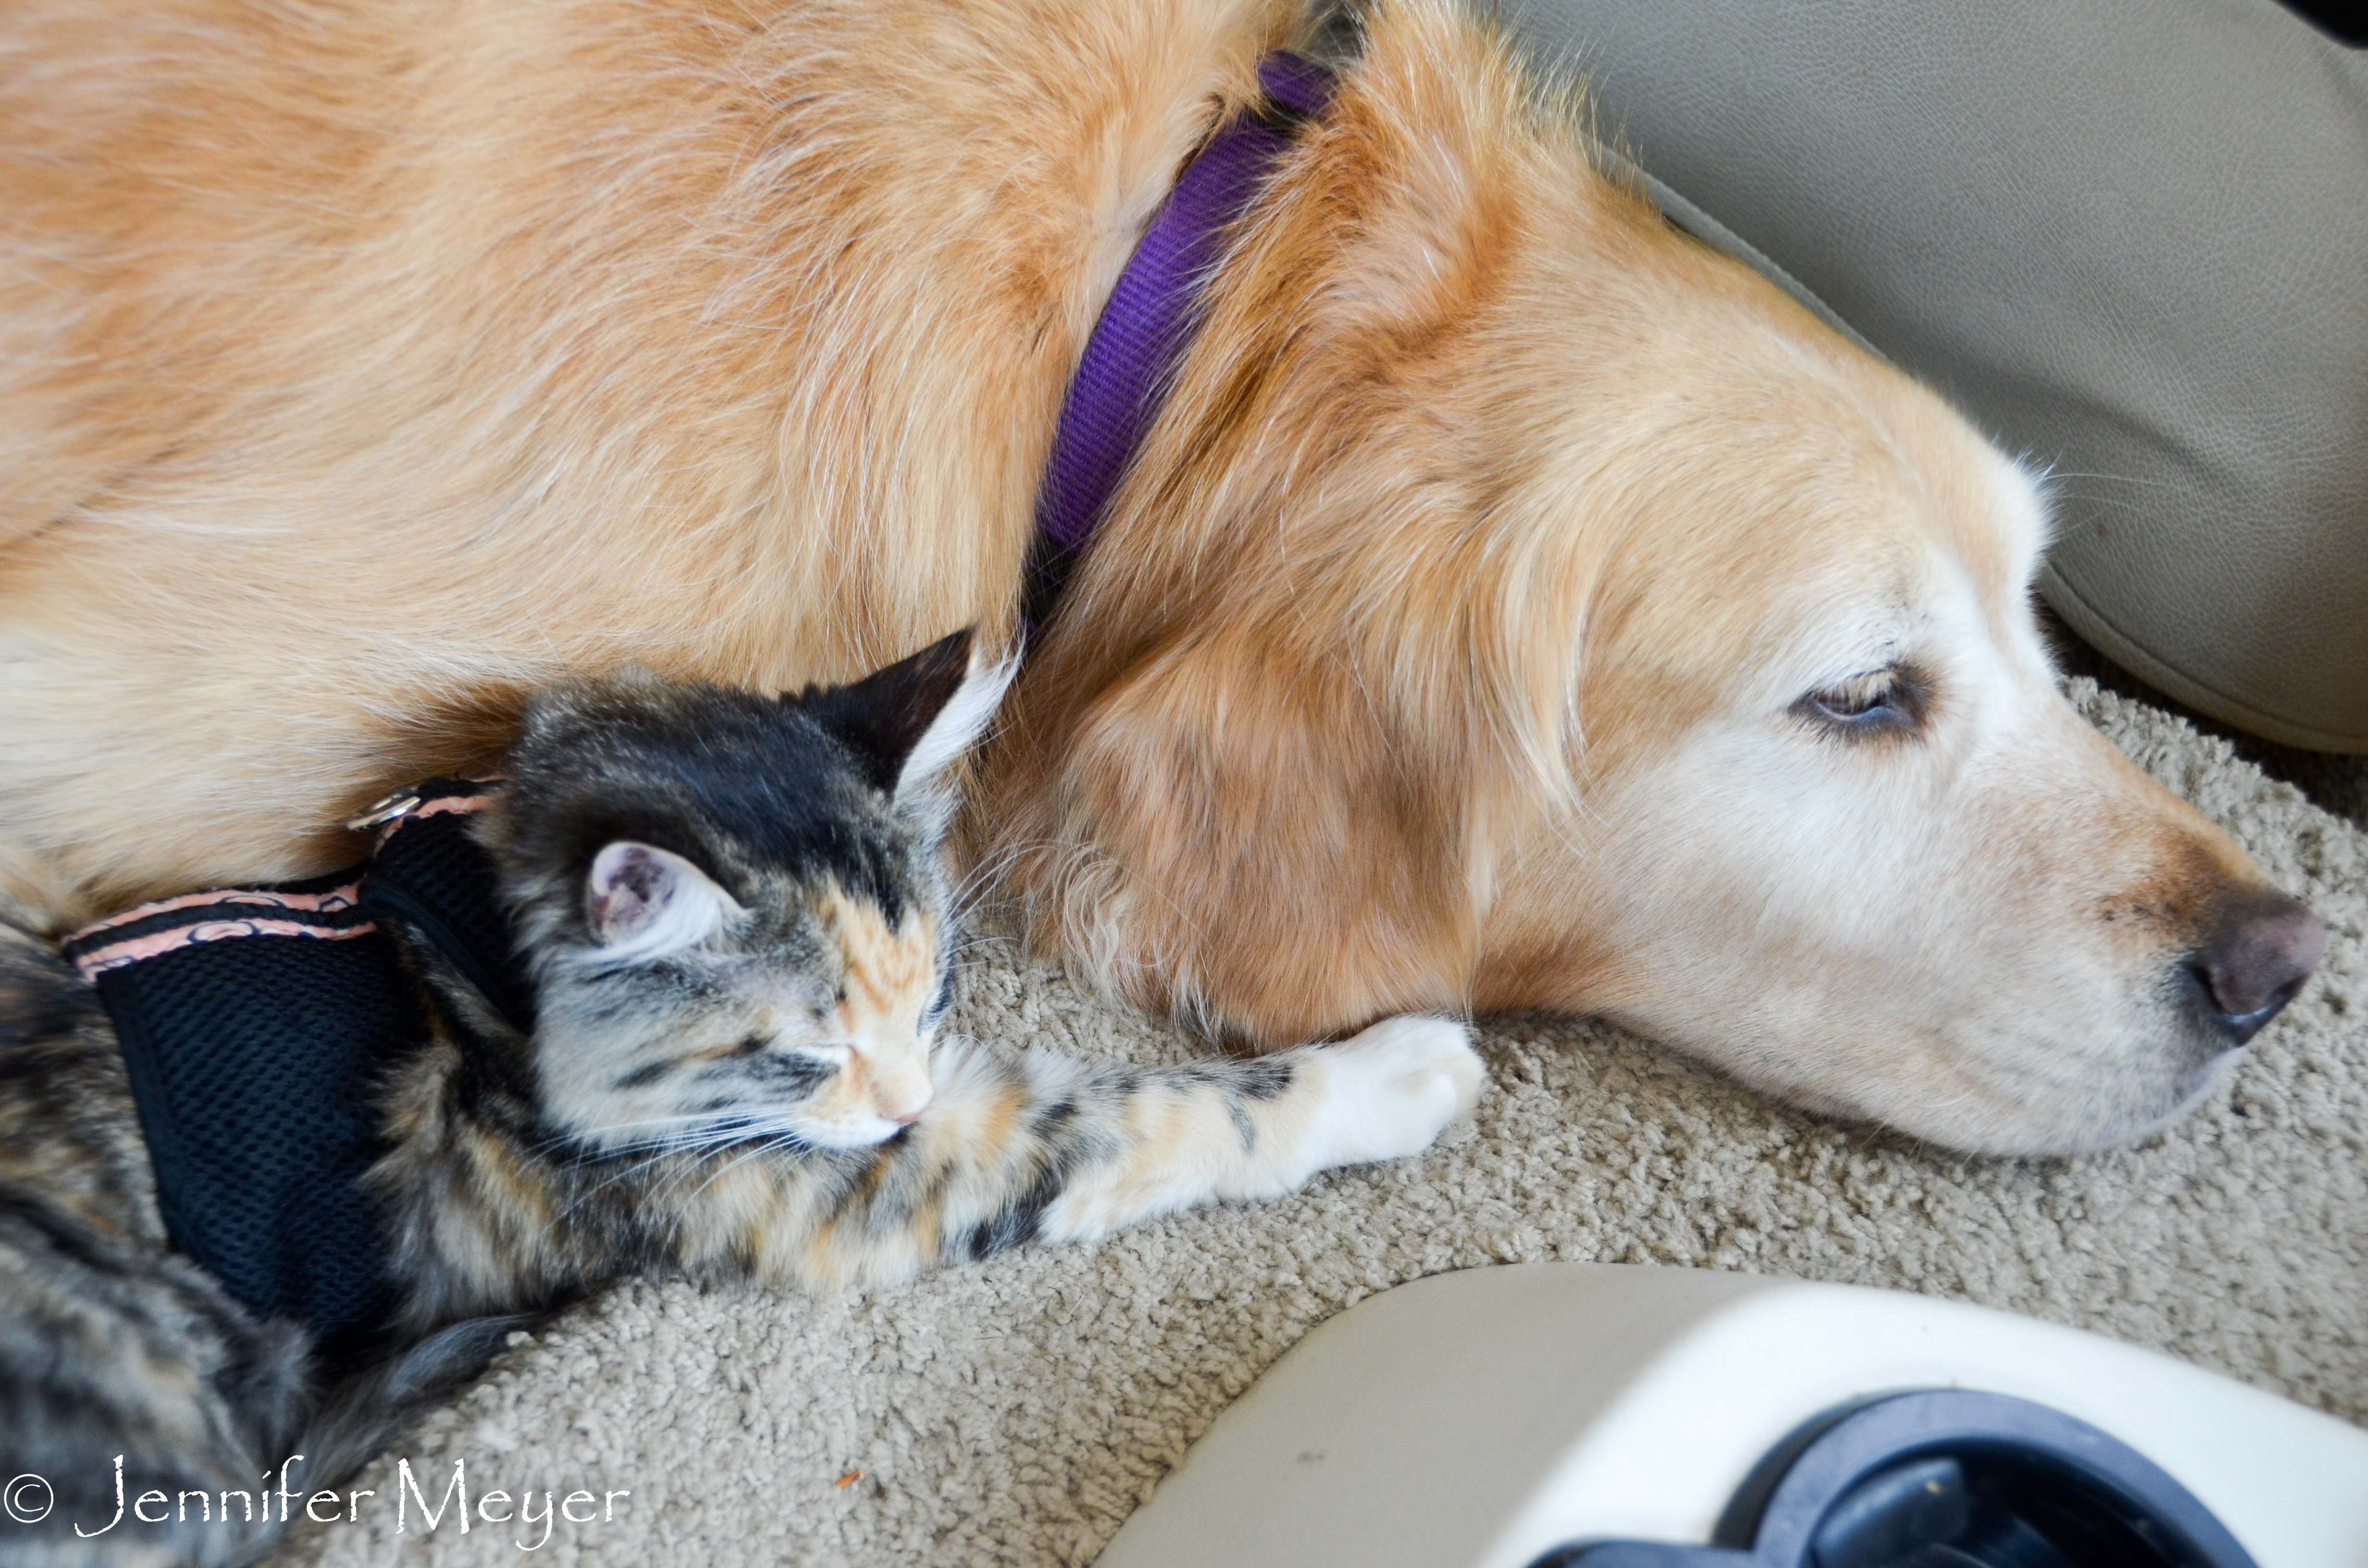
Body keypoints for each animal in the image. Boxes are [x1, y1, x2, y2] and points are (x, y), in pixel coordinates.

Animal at [0, 635, 1478, 1563]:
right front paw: (1399, 1072)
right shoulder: (807, 1177)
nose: (901, 1097)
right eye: (807, 1052)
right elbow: (1152, 1114)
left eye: (930, 997)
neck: (473, 945)